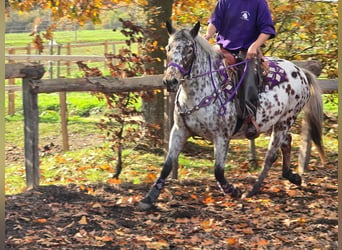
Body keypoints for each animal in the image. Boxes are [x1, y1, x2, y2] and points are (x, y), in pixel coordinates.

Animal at [138, 21, 324, 210]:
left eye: (189, 49)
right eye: (168, 47)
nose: (171, 81)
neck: (198, 92)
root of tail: (301, 72)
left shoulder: (221, 136)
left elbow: (218, 171)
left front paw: (233, 191)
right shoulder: (179, 130)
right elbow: (167, 166)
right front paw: (149, 198)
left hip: (286, 120)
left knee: (271, 155)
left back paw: (253, 190)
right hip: (271, 122)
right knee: (286, 142)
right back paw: (292, 176)